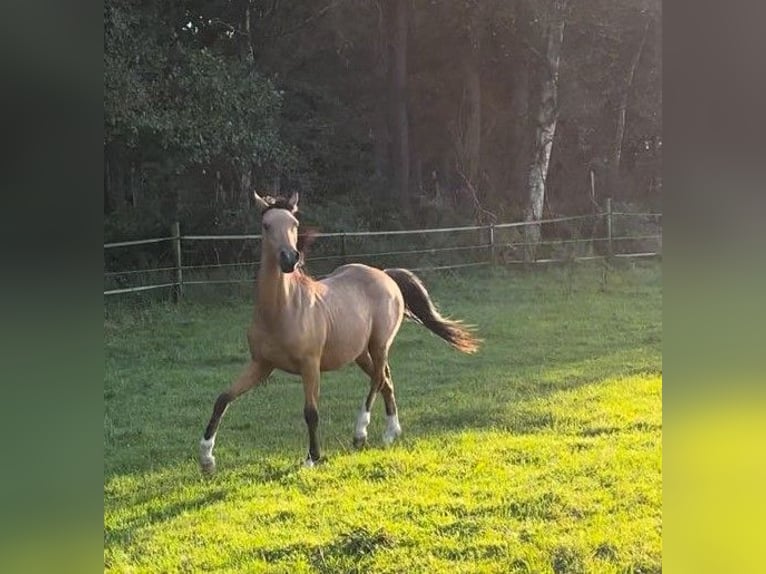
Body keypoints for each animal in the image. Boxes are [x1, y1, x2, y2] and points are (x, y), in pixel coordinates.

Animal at [201, 192, 484, 472]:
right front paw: (206, 458)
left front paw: (312, 458)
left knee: (378, 380)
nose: (289, 259)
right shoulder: (261, 365)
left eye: (294, 224)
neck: (283, 309)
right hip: (360, 353)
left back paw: (360, 434)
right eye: (266, 225)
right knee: (386, 381)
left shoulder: (310, 365)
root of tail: (385, 275)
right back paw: (391, 433)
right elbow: (222, 399)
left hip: (379, 344)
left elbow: (311, 412)